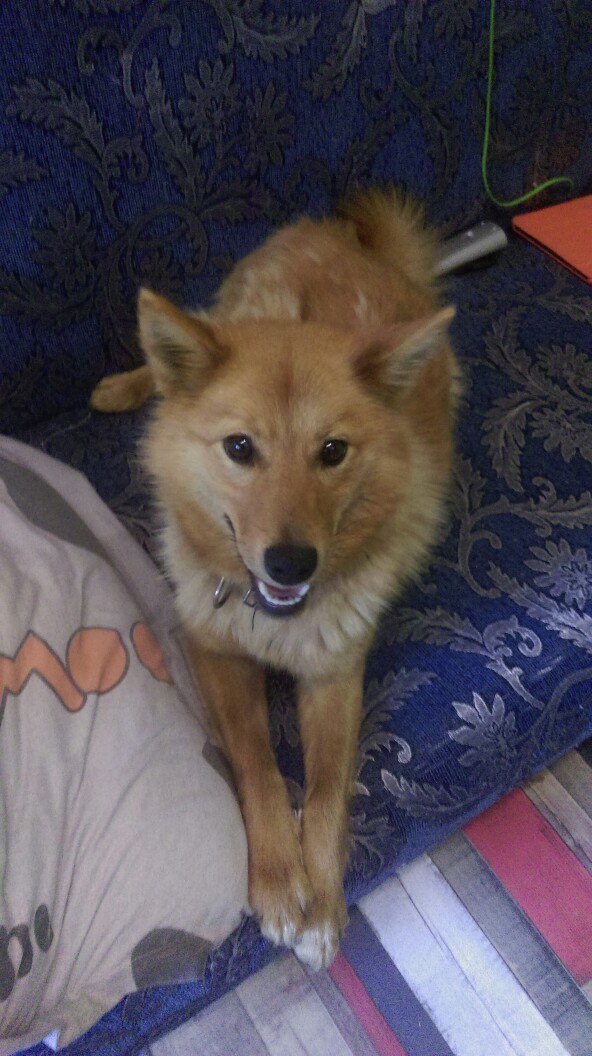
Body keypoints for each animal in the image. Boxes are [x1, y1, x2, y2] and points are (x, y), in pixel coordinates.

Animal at [90, 188, 459, 970]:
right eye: (239, 447)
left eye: (333, 451)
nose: (291, 563)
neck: (273, 621)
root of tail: (348, 243)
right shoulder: (216, 655)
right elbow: (259, 762)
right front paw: (279, 883)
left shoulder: (336, 675)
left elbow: (324, 787)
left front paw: (321, 903)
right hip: (221, 312)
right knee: (167, 370)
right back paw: (123, 386)